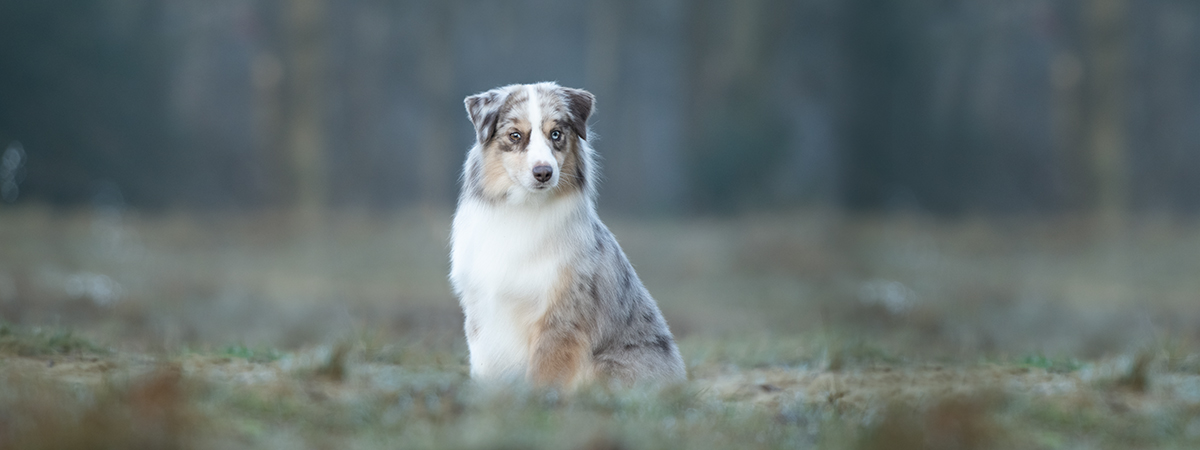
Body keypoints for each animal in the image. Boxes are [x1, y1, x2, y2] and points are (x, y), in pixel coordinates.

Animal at [451, 82, 686, 388]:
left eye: (556, 134)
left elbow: (544, 375)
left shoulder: (561, 318)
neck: (522, 211)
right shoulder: (481, 311)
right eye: (515, 135)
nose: (543, 172)